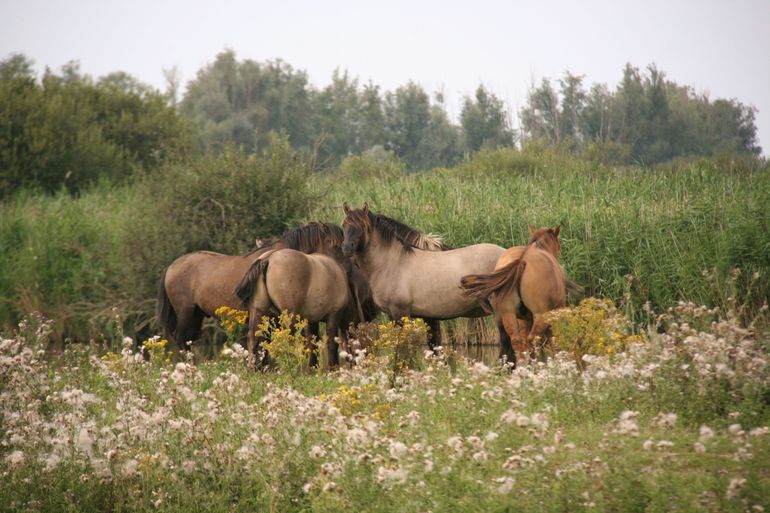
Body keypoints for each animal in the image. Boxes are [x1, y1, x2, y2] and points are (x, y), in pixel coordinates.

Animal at [156, 222, 342, 350]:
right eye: (335, 244)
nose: (342, 268)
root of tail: (171, 266)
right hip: (185, 312)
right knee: (181, 338)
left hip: (196, 314)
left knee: (188, 339)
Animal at [232, 246, 370, 366]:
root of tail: (268, 258)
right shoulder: (333, 316)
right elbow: (331, 343)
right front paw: (332, 367)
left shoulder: (311, 320)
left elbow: (312, 344)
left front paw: (312, 368)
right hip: (289, 315)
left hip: (258, 310)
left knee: (253, 337)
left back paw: (252, 367)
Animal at [340, 202, 508, 354]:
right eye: (344, 225)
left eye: (362, 226)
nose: (347, 248)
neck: (393, 263)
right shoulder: (424, 317)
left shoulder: (399, 314)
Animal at [460, 226, 568, 366]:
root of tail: (521, 260)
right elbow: (553, 341)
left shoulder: (523, 319)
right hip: (540, 315)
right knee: (532, 339)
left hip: (508, 314)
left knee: (516, 341)